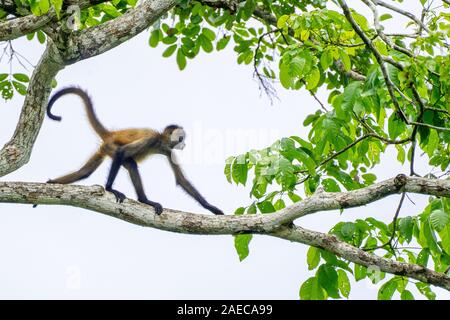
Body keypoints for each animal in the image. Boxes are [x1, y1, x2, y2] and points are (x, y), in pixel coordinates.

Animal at [44, 87, 224, 215]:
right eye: (181, 139)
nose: (184, 145)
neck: (160, 141)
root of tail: (111, 134)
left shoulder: (168, 151)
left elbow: (182, 180)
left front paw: (211, 207)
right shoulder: (152, 139)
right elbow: (122, 152)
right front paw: (109, 188)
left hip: (104, 149)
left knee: (84, 172)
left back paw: (51, 183)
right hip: (111, 147)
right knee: (129, 162)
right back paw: (143, 199)